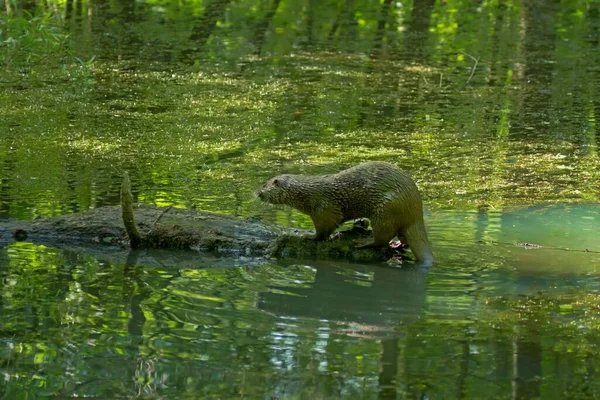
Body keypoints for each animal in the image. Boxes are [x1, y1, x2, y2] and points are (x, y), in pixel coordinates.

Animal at [255, 161, 434, 264]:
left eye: (264, 185)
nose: (258, 193)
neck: (306, 194)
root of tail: (416, 211)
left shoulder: (323, 208)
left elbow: (323, 230)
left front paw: (309, 236)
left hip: (385, 210)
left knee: (382, 238)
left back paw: (364, 242)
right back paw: (397, 244)